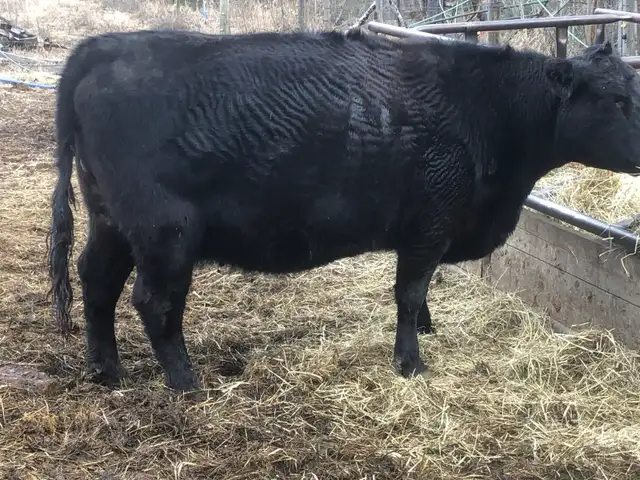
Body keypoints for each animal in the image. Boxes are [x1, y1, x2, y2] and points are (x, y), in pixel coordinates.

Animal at [47, 27, 640, 392]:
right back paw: (185, 381)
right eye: (615, 100)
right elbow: (409, 292)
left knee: (96, 279)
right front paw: (411, 362)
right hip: (165, 230)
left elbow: (421, 292)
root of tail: (105, 46)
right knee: (153, 300)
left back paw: (106, 369)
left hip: (111, 220)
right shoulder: (429, 224)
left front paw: (428, 331)